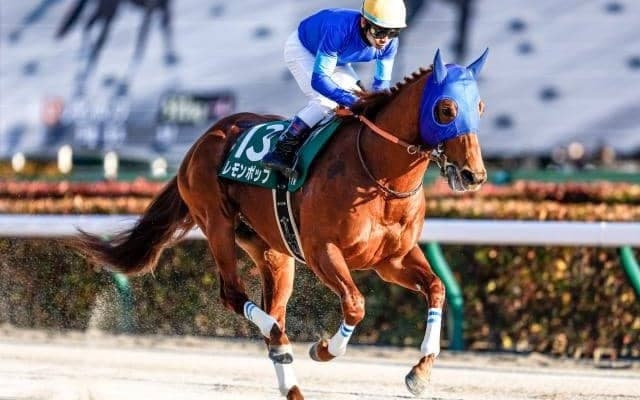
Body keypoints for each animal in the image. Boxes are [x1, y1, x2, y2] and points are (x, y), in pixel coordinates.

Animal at [72, 49, 489, 399]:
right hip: (217, 223)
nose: (474, 175)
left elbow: (435, 288)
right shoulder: (322, 251)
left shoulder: (392, 259)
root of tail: (200, 142)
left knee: (272, 309)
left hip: (273, 252)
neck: (378, 174)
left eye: (480, 107)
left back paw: (290, 379)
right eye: (446, 109)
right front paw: (324, 348)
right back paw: (279, 337)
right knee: (235, 296)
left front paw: (420, 372)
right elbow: (355, 304)